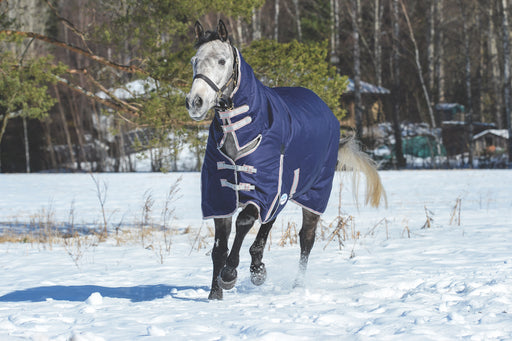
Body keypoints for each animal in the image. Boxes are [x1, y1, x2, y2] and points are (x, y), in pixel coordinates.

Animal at [185, 19, 384, 298]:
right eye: (194, 60)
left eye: (222, 61)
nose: (195, 102)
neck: (241, 130)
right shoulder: (221, 195)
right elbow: (219, 247)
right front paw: (215, 294)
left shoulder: (264, 189)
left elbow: (244, 221)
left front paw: (229, 274)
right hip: (283, 190)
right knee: (269, 223)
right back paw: (257, 268)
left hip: (313, 194)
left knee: (306, 239)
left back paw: (296, 285)